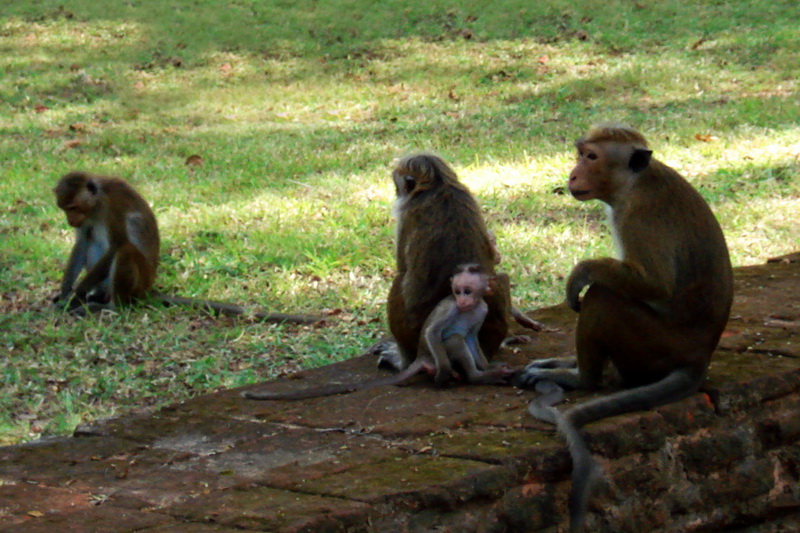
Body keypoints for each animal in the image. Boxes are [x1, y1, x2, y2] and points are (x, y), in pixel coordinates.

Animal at [52, 170, 322, 324]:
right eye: (64, 209)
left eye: (72, 207)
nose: (70, 220)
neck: (96, 203)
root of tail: (148, 289)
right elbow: (82, 242)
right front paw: (66, 292)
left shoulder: (112, 206)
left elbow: (117, 244)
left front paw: (76, 294)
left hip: (139, 281)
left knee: (125, 250)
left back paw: (110, 306)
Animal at [244, 262, 512, 400]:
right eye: (458, 291)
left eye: (468, 291)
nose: (463, 299)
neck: (469, 308)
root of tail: (422, 357)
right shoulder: (450, 307)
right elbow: (434, 332)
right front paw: (446, 372)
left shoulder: (482, 309)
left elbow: (472, 336)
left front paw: (487, 365)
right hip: (433, 354)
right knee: (453, 339)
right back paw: (473, 377)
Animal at [378, 152, 510, 372]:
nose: (396, 189)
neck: (439, 182)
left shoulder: (407, 212)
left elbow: (402, 268)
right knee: (500, 278)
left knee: (398, 282)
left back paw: (402, 362)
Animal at [516, 125, 736, 532]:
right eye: (581, 154)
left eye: (591, 157)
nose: (573, 174)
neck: (634, 183)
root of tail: (700, 357)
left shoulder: (638, 218)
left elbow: (656, 285)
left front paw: (581, 272)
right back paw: (563, 366)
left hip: (653, 344)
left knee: (603, 296)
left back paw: (580, 377)